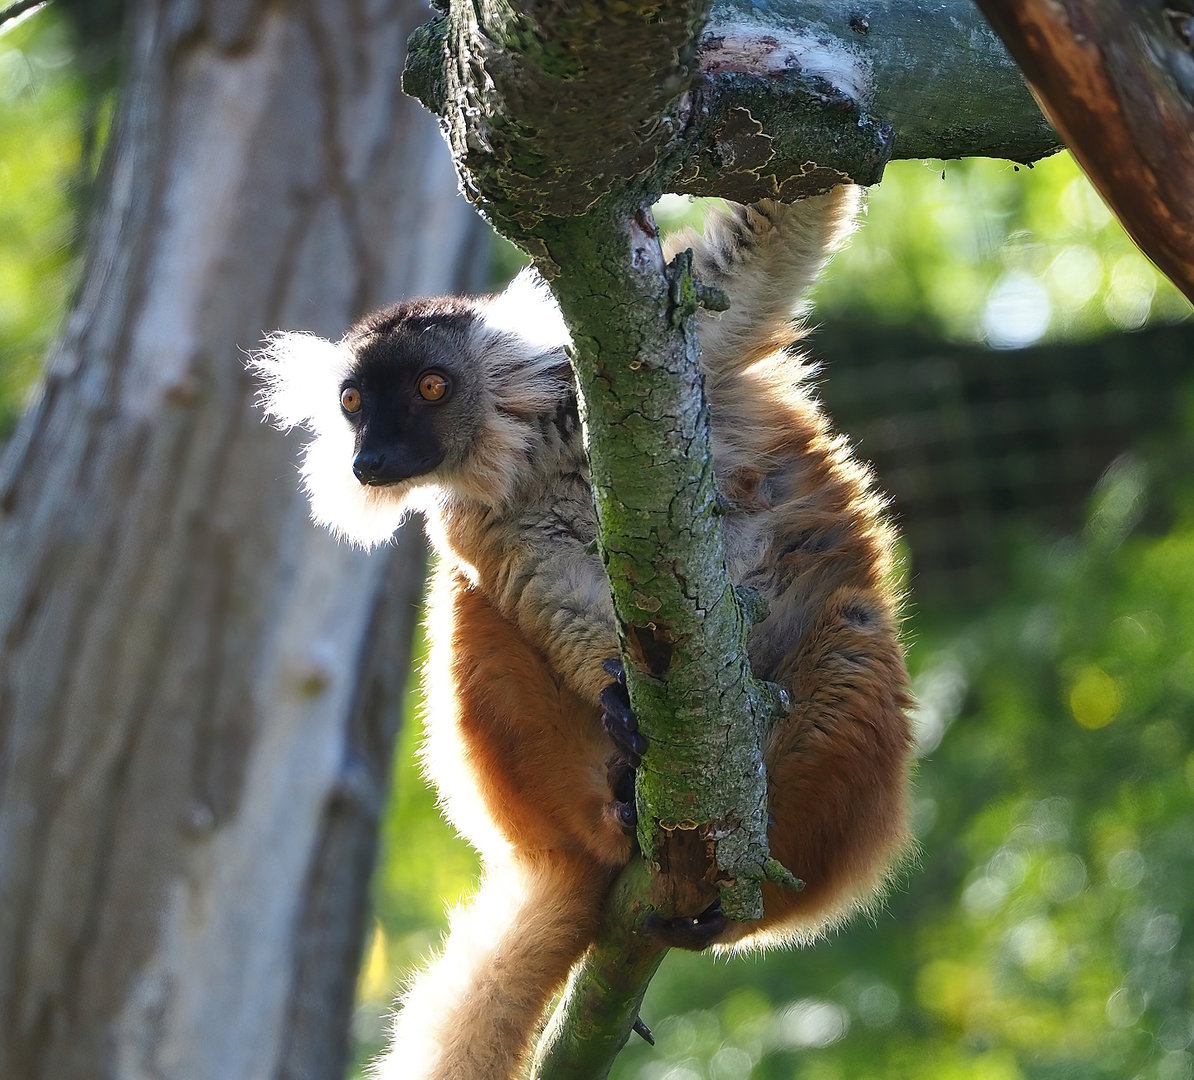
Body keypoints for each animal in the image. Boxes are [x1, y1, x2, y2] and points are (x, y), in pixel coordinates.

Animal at [252, 187, 913, 1080]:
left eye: (430, 386)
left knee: (851, 630)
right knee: (472, 603)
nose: (371, 459)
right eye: (353, 404)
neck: (531, 450)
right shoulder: (481, 520)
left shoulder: (657, 364)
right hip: (538, 783)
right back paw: (621, 803)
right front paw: (625, 710)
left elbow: (774, 241)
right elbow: (548, 595)